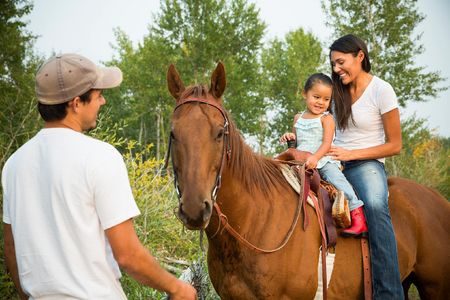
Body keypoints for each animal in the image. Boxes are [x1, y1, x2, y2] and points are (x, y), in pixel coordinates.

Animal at [166, 62, 450, 298]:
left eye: (219, 133)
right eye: (173, 133)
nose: (194, 208)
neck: (253, 220)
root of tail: (438, 199)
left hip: (436, 287)